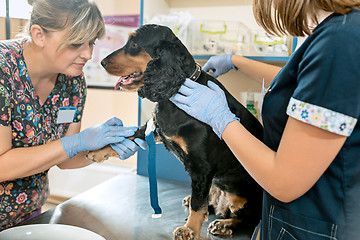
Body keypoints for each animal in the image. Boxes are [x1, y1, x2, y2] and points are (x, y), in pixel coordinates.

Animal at [86, 23, 262, 238]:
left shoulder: (201, 166)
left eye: (134, 44)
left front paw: (189, 229)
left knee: (247, 218)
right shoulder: (155, 130)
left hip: (243, 198)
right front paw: (99, 151)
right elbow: (129, 135)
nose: (101, 62)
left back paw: (224, 224)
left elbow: (198, 205)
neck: (175, 92)